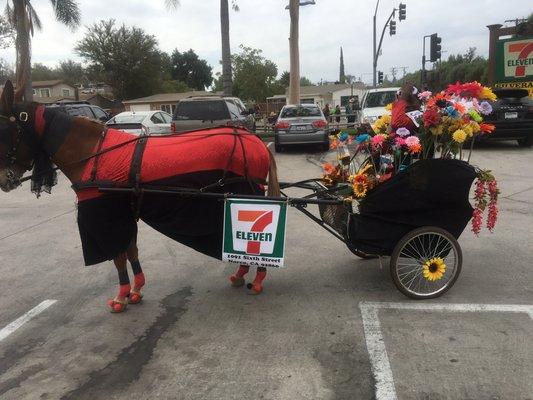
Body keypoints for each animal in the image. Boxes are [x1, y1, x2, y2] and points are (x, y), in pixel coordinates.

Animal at [0, 81, 280, 312]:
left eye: (5, 130)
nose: (4, 179)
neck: (94, 154)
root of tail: (255, 141)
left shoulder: (109, 218)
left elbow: (118, 256)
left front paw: (121, 296)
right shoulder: (126, 213)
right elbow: (131, 250)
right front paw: (135, 290)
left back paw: (256, 276)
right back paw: (242, 273)